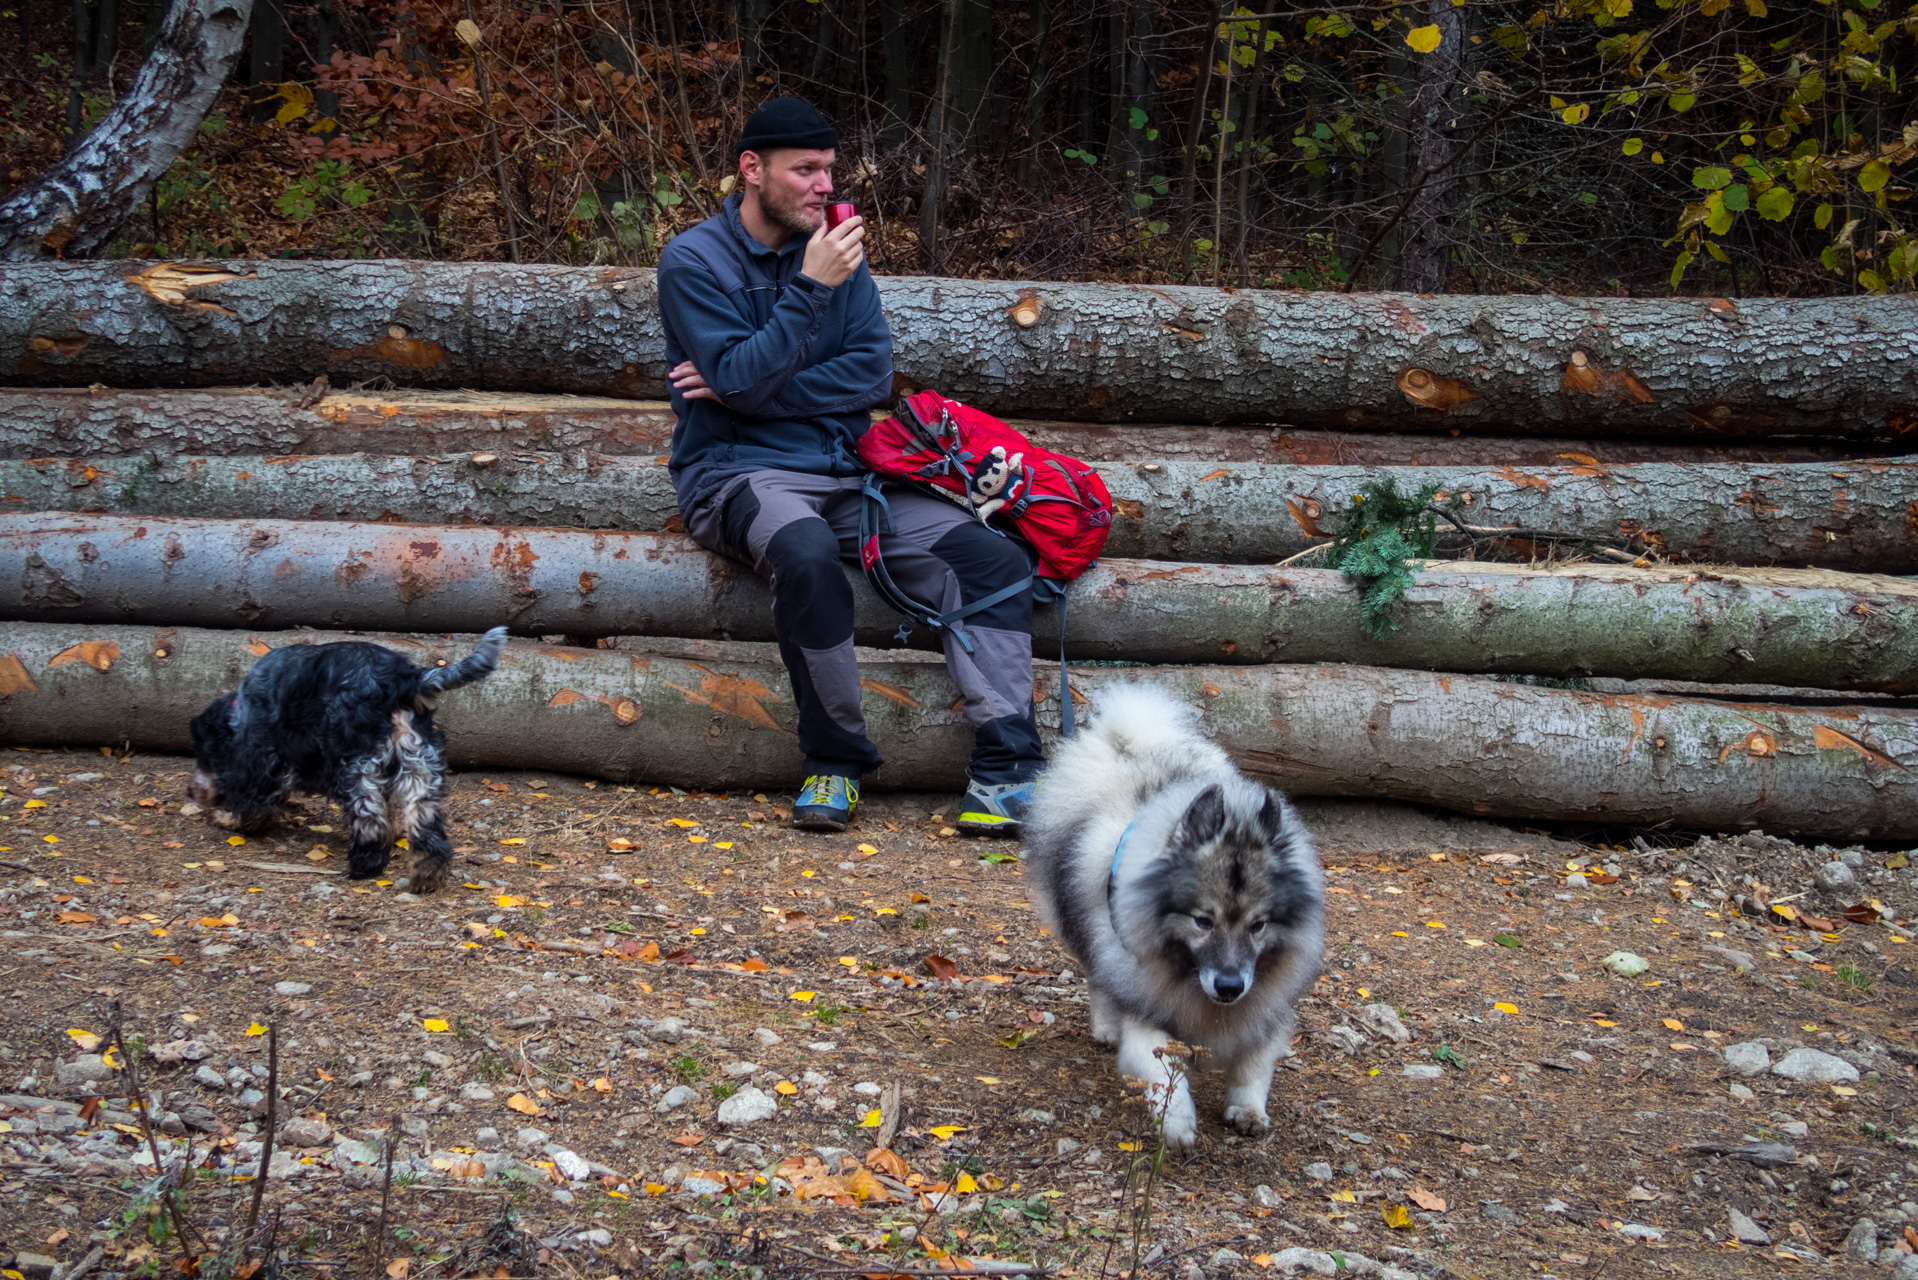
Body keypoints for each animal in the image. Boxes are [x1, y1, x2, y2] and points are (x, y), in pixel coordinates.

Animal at [188, 629, 510, 890]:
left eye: (204, 756)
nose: (191, 792)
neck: (239, 710)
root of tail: (403, 679)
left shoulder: (263, 754)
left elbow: (252, 797)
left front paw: (228, 818)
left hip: (357, 765)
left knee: (370, 820)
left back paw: (363, 866)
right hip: (420, 762)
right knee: (425, 822)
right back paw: (427, 873)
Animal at [1028, 687, 1327, 1159]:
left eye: (1258, 925)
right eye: (1203, 921)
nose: (1230, 986)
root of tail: (1129, 751)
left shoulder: (1266, 1007)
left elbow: (1255, 1064)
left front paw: (1248, 1110)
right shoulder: (1147, 1007)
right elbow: (1160, 1066)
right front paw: (1178, 1122)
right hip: (1087, 925)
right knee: (1098, 977)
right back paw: (1105, 1027)